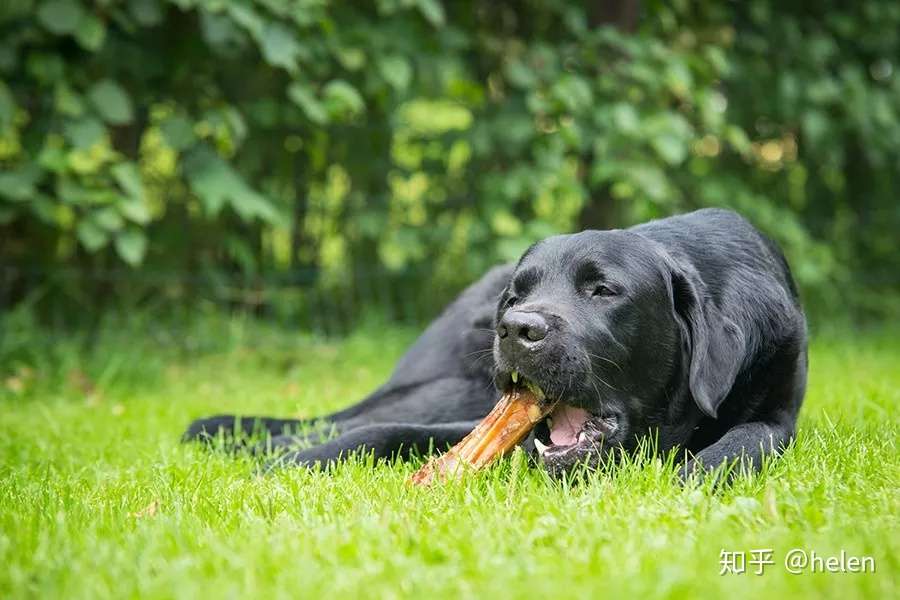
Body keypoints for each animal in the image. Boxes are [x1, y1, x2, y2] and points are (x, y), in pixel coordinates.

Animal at [185, 209, 808, 480]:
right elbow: (382, 432)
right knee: (349, 416)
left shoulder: (779, 413)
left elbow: (745, 440)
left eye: (603, 290)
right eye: (517, 294)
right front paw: (292, 464)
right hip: (448, 387)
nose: (514, 327)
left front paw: (694, 475)